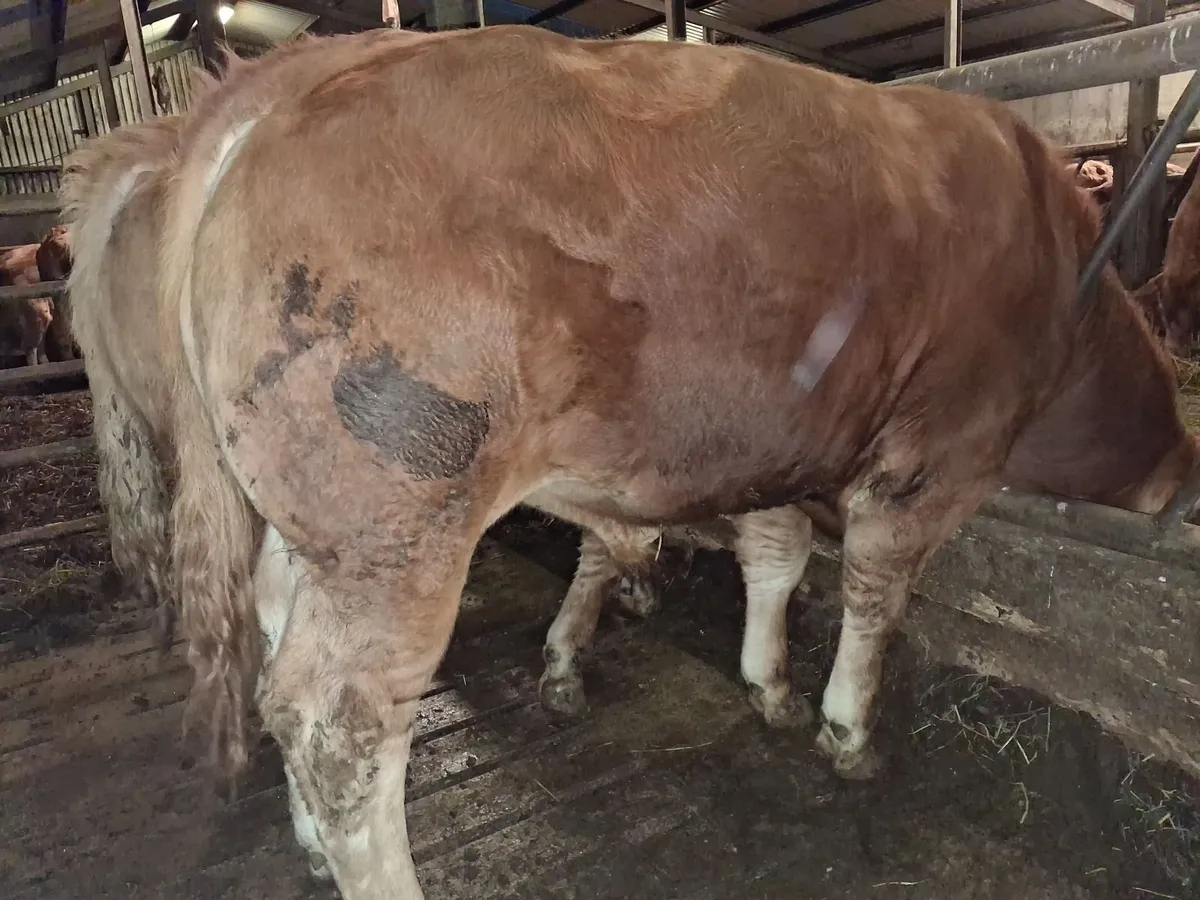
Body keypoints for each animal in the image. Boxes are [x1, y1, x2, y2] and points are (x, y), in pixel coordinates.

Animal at [68, 25, 1198, 900]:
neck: (1063, 282)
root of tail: (268, 95)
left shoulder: (774, 446)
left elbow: (774, 558)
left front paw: (768, 685)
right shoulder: (931, 461)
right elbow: (875, 599)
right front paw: (847, 733)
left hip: (299, 521)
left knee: (271, 650)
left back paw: (306, 845)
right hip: (397, 522)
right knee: (335, 724)